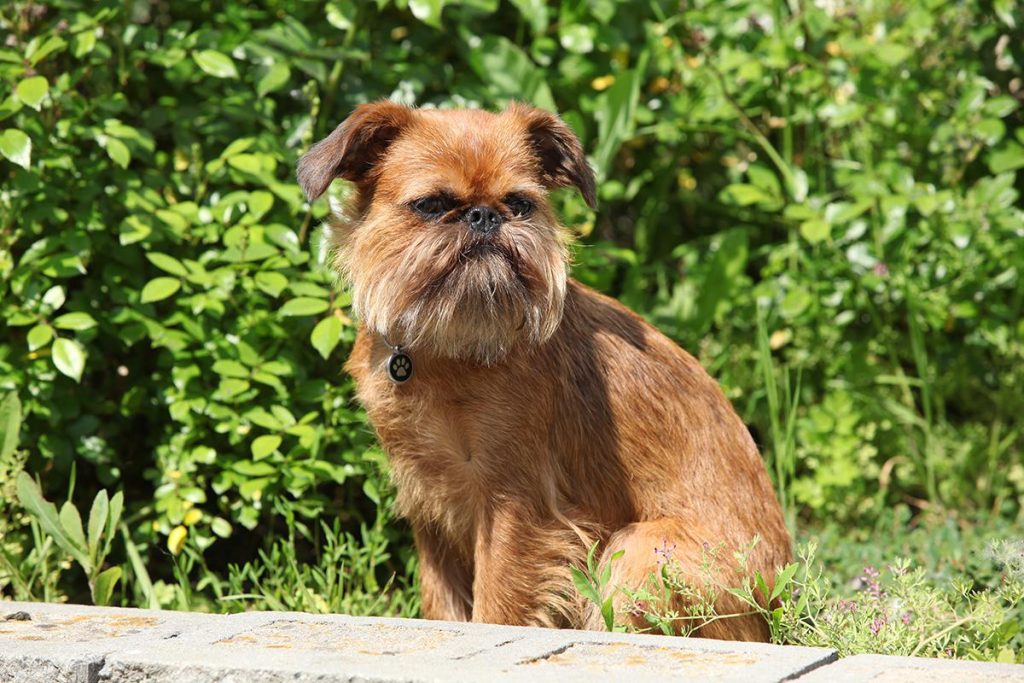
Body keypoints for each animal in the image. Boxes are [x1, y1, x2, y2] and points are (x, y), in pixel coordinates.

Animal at [296, 100, 790, 643]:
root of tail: (779, 599)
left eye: (520, 204)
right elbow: (441, 601)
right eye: (430, 205)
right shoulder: (428, 502)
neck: (445, 349)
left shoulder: (513, 503)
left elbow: (496, 603)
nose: (483, 215)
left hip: (638, 554)